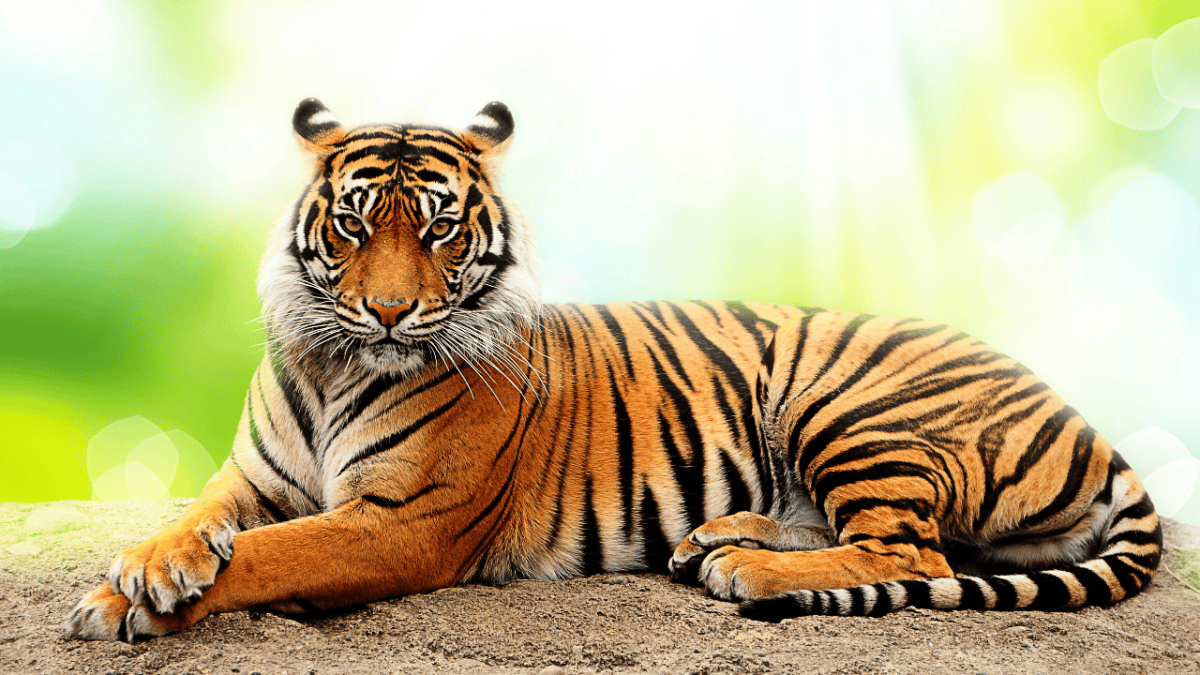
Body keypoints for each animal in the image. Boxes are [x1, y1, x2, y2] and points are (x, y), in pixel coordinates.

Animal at [64, 99, 1162, 642]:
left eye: (440, 229)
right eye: (353, 223)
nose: (389, 311)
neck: (338, 365)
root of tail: (1088, 420)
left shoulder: (402, 522)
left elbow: (269, 556)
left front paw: (126, 604)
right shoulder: (250, 478)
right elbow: (201, 524)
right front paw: (143, 571)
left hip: (850, 402)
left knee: (912, 553)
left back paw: (748, 567)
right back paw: (717, 538)